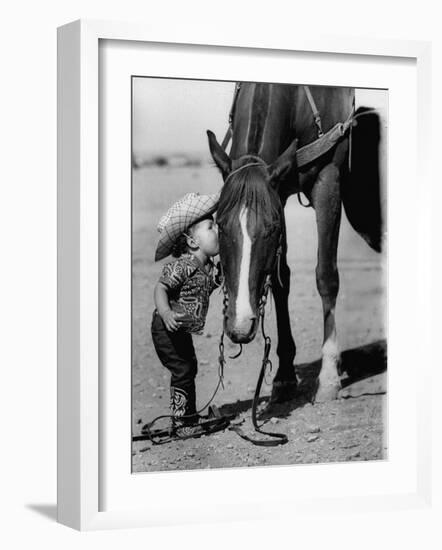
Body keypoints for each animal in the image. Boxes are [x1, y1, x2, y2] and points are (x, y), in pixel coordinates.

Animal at [205, 82, 382, 404]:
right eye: (219, 224)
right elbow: (280, 280)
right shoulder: (280, 191)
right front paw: (285, 375)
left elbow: (326, 277)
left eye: (271, 227)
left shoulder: (328, 180)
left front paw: (328, 377)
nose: (240, 325)